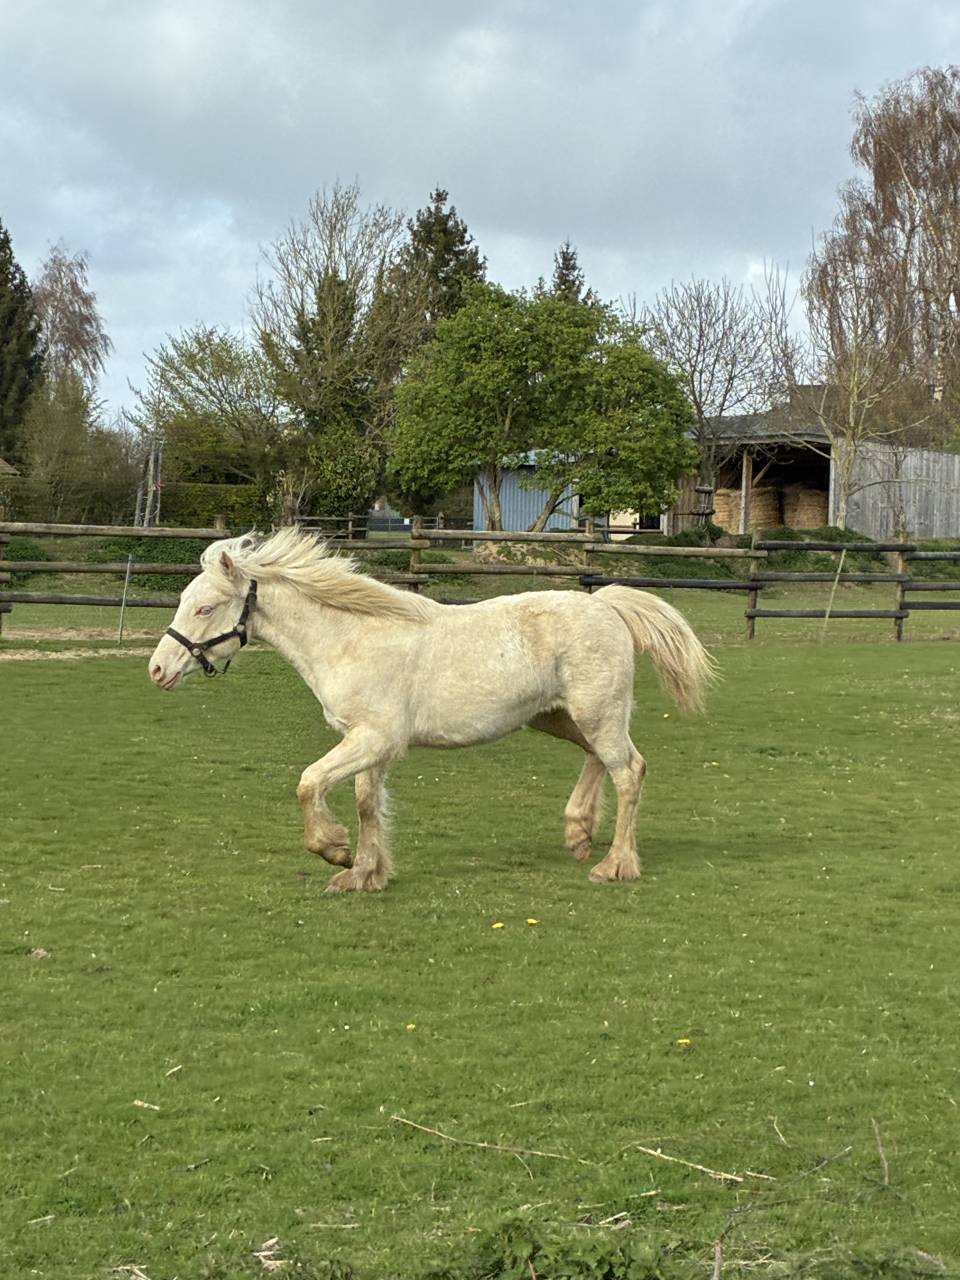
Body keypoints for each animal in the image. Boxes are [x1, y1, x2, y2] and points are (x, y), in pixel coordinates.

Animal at [148, 527, 714, 892]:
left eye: (204, 608)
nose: (157, 669)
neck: (352, 639)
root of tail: (605, 603)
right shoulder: (366, 743)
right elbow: (366, 804)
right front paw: (364, 874)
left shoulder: (374, 738)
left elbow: (309, 784)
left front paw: (334, 849)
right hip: (559, 717)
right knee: (602, 759)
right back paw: (578, 833)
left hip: (596, 713)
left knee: (629, 770)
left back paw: (615, 865)